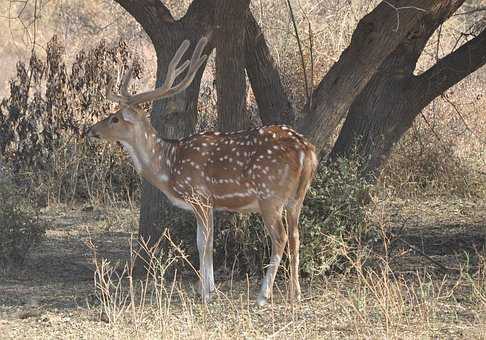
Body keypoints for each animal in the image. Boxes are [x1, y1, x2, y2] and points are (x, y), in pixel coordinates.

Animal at [87, 36, 318, 306]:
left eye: (114, 118)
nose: (91, 130)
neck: (169, 166)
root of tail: (306, 151)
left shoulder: (200, 196)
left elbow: (204, 243)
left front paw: (207, 292)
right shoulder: (206, 204)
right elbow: (202, 241)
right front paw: (207, 288)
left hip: (269, 196)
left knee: (280, 237)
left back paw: (263, 295)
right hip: (297, 197)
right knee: (296, 236)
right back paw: (295, 293)